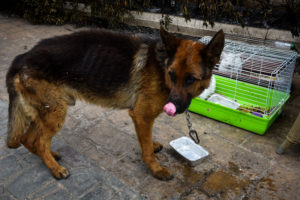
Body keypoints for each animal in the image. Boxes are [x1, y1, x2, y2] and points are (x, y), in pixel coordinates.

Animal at [5, 25, 224, 180]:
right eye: (172, 74)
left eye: (191, 79)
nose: (172, 107)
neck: (161, 64)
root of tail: (22, 57)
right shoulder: (142, 115)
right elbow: (146, 150)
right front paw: (155, 169)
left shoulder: (140, 118)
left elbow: (145, 141)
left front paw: (151, 146)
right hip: (55, 113)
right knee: (39, 141)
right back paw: (55, 169)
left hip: (46, 112)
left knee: (28, 139)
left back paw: (49, 157)